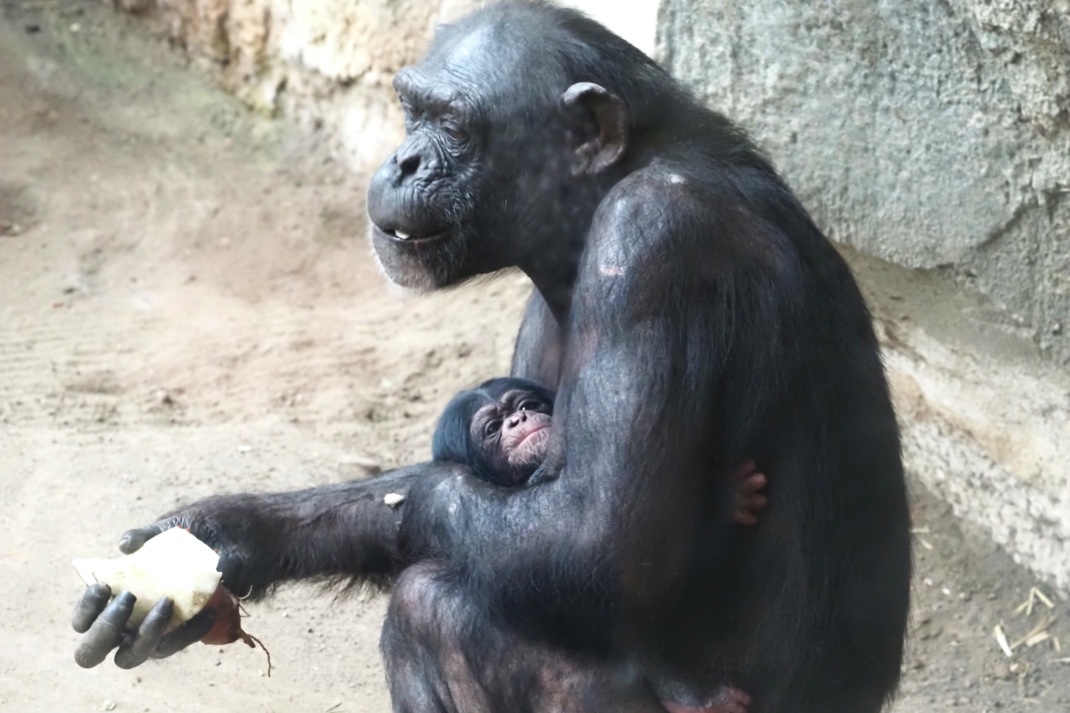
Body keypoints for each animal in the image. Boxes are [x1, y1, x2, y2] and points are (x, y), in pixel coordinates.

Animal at [73, 1, 911, 710]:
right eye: (413, 111)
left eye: (453, 123)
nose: (404, 160)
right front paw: (227, 533)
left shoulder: (651, 244)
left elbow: (598, 542)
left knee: (434, 604)